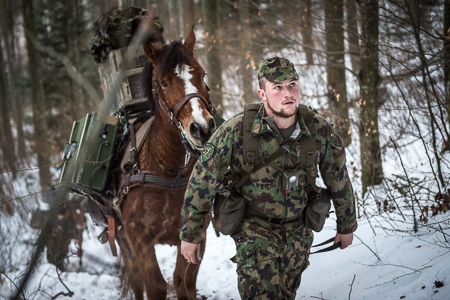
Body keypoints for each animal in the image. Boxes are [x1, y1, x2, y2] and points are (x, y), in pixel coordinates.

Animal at [118, 26, 216, 300]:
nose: (202, 128)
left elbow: (183, 283)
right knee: (136, 279)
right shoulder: (138, 237)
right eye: (163, 82)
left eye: (202, 74)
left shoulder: (196, 234)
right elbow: (156, 285)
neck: (167, 172)